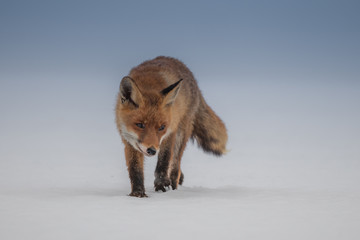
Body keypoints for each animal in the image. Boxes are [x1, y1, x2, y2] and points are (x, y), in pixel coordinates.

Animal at [115, 56, 228, 197]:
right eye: (140, 125)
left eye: (161, 127)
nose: (152, 150)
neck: (149, 84)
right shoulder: (129, 141)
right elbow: (135, 169)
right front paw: (137, 193)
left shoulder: (170, 133)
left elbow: (164, 161)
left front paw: (162, 184)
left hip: (181, 133)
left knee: (175, 166)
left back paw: (173, 185)